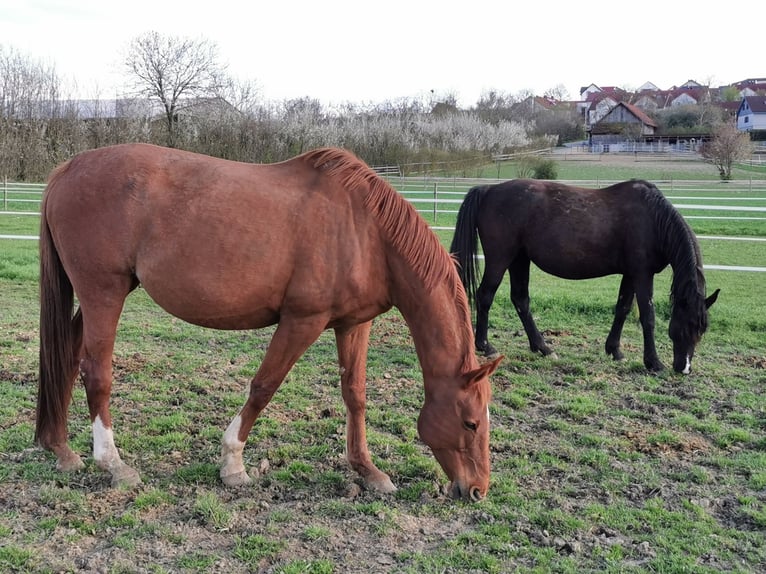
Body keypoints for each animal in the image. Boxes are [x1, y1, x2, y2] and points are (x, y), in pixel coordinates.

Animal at [36, 145, 504, 504]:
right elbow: (264, 387)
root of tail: (64, 171)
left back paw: (61, 449)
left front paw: (369, 472)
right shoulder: (303, 321)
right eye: (471, 423)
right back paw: (113, 464)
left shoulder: (353, 324)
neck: (366, 232)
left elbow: (355, 396)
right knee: (96, 372)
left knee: (65, 357)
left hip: (98, 297)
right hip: (104, 292)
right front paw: (233, 464)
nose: (478, 490)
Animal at [450, 181, 720, 378]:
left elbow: (622, 309)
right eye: (686, 326)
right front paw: (653, 362)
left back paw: (542, 347)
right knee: (486, 295)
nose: (684, 368)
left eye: (702, 329)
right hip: (501, 258)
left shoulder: (630, 274)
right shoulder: (643, 274)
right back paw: (485, 346)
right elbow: (648, 317)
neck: (653, 220)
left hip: (519, 259)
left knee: (520, 299)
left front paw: (615, 350)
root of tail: (489, 190)